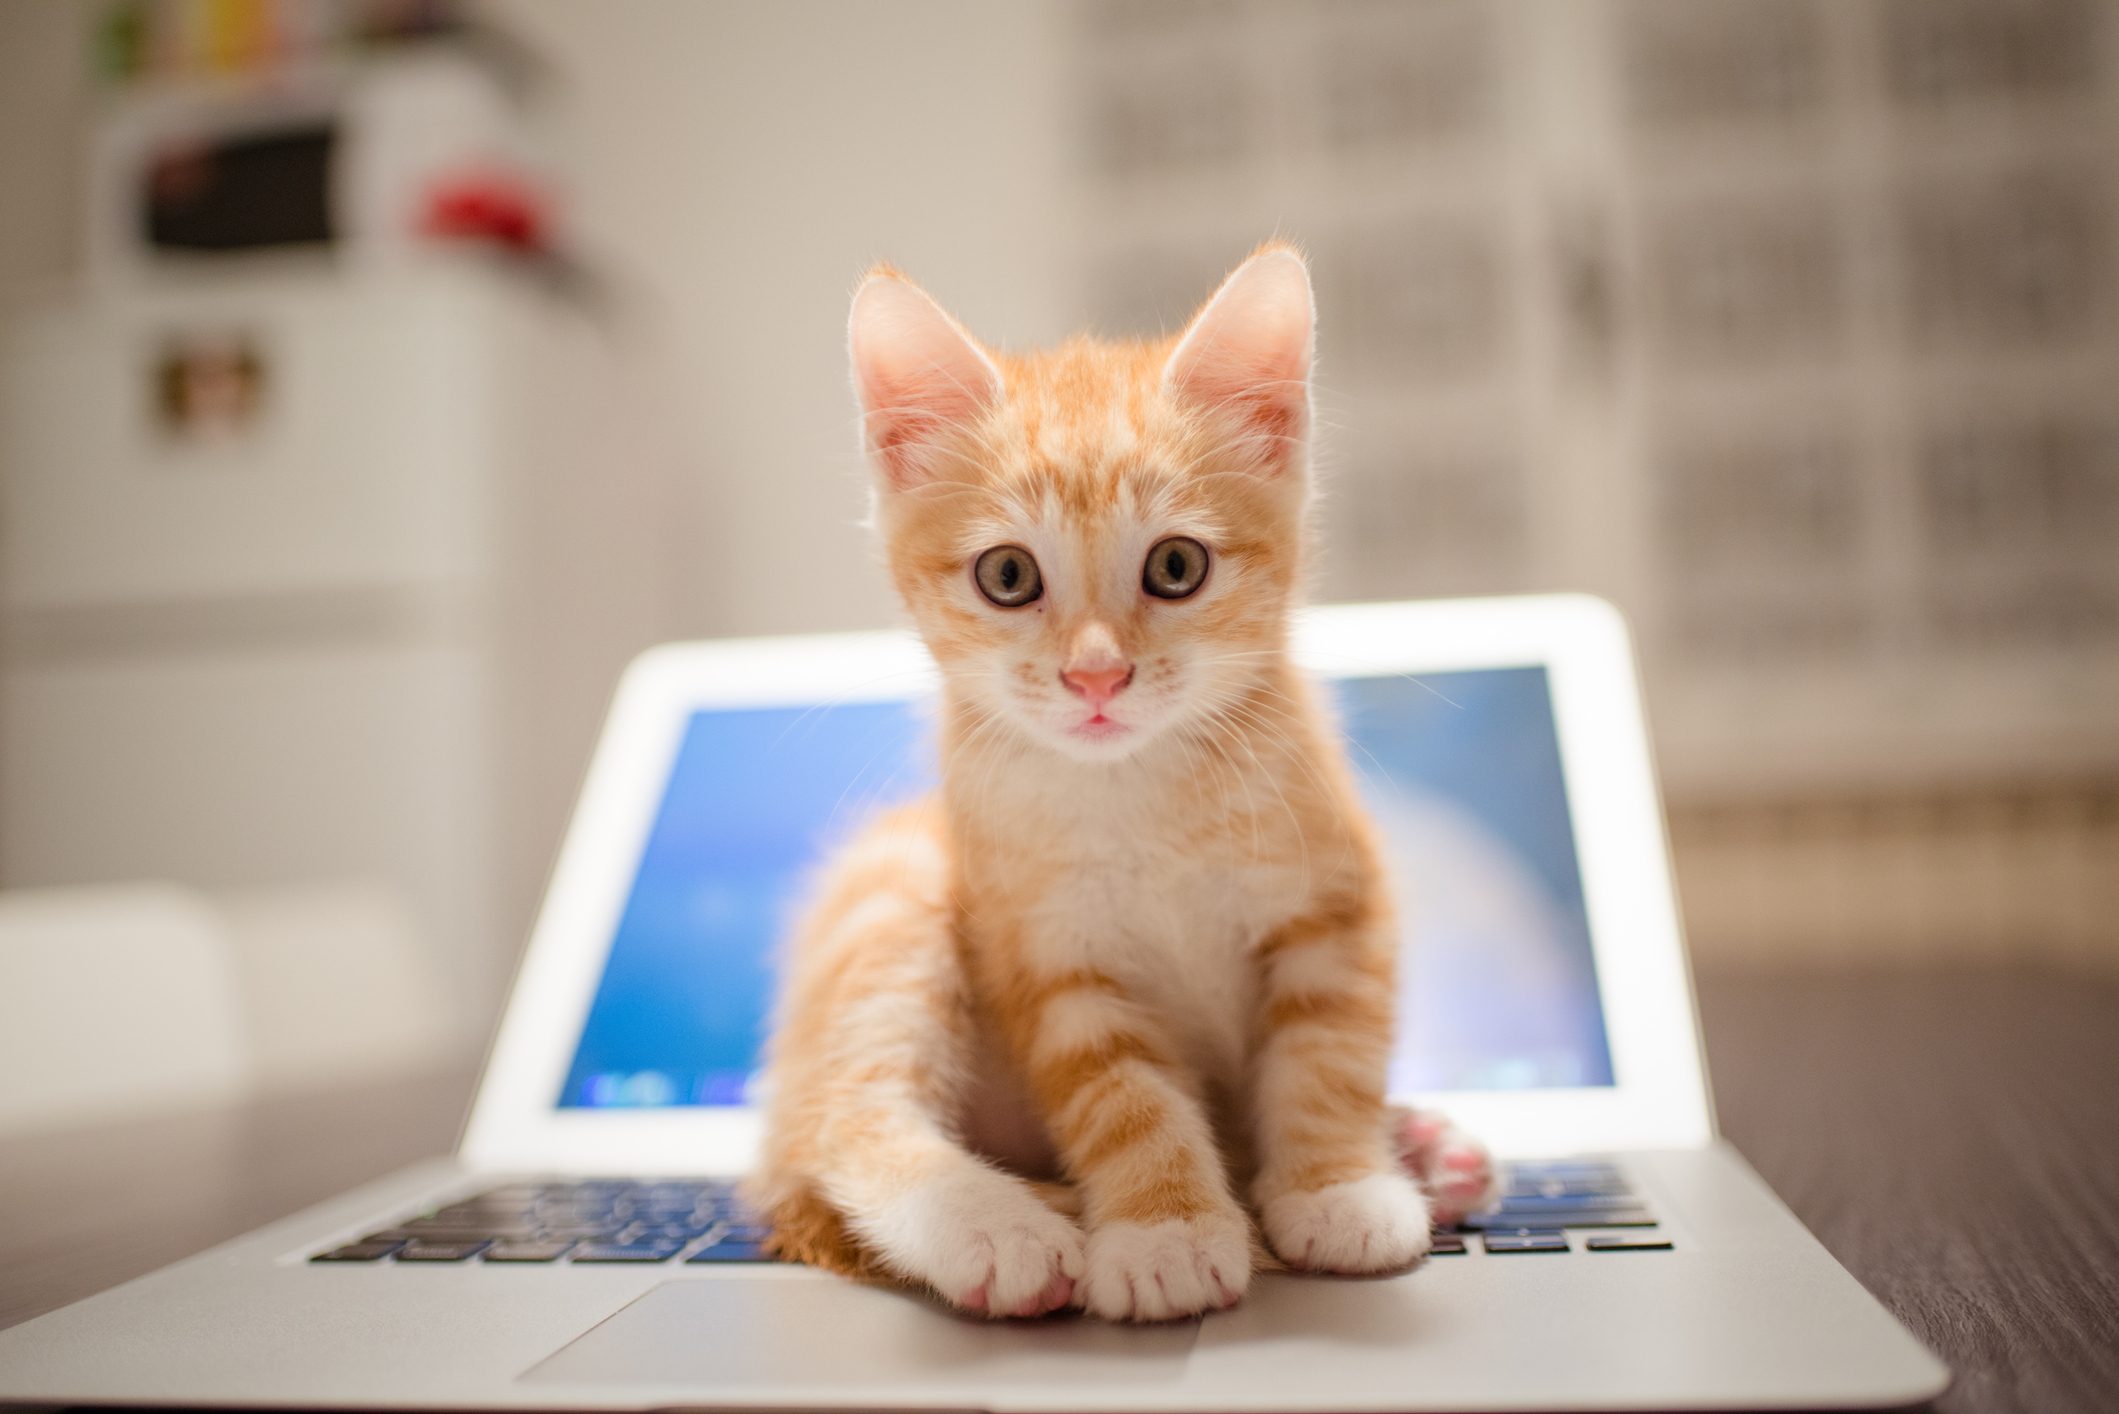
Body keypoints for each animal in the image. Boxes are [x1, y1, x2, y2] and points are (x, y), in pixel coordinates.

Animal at [754, 245, 1500, 1331]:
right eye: (1008, 576)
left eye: (1177, 565)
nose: (1096, 676)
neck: (1143, 796)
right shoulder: (1052, 961)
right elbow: (1123, 1096)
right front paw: (1166, 1232)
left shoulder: (1335, 907)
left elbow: (1326, 1056)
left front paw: (1338, 1186)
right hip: (898, 890)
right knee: (839, 1120)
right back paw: (994, 1224)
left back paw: (1425, 1153)